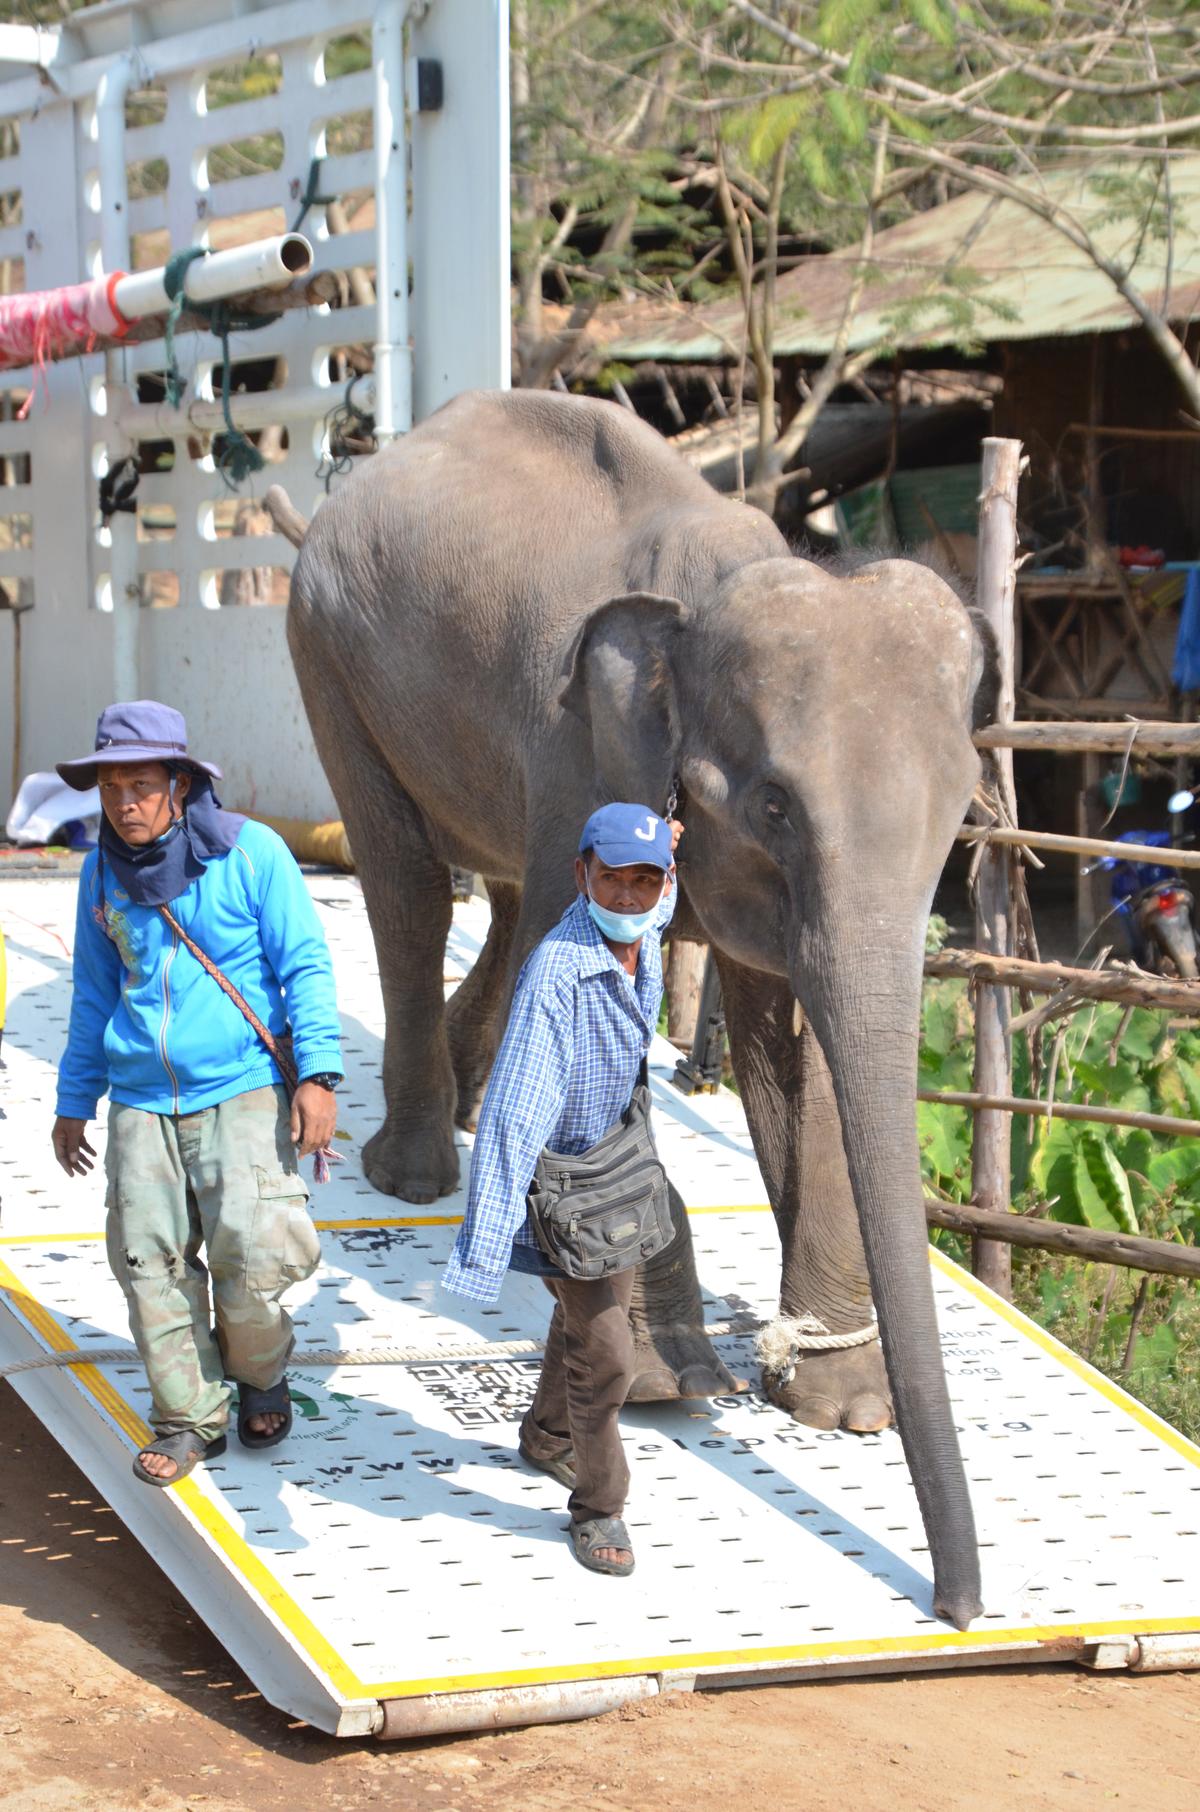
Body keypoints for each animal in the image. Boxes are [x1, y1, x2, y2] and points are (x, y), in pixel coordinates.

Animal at [271, 387, 996, 1629]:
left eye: (962, 811)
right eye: (774, 804)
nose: (957, 1606)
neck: (719, 585)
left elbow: (790, 1048)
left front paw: (841, 1407)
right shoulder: (585, 756)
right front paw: (670, 1386)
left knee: (502, 892)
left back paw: (472, 1110)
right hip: (328, 648)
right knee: (409, 882)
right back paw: (416, 1171)